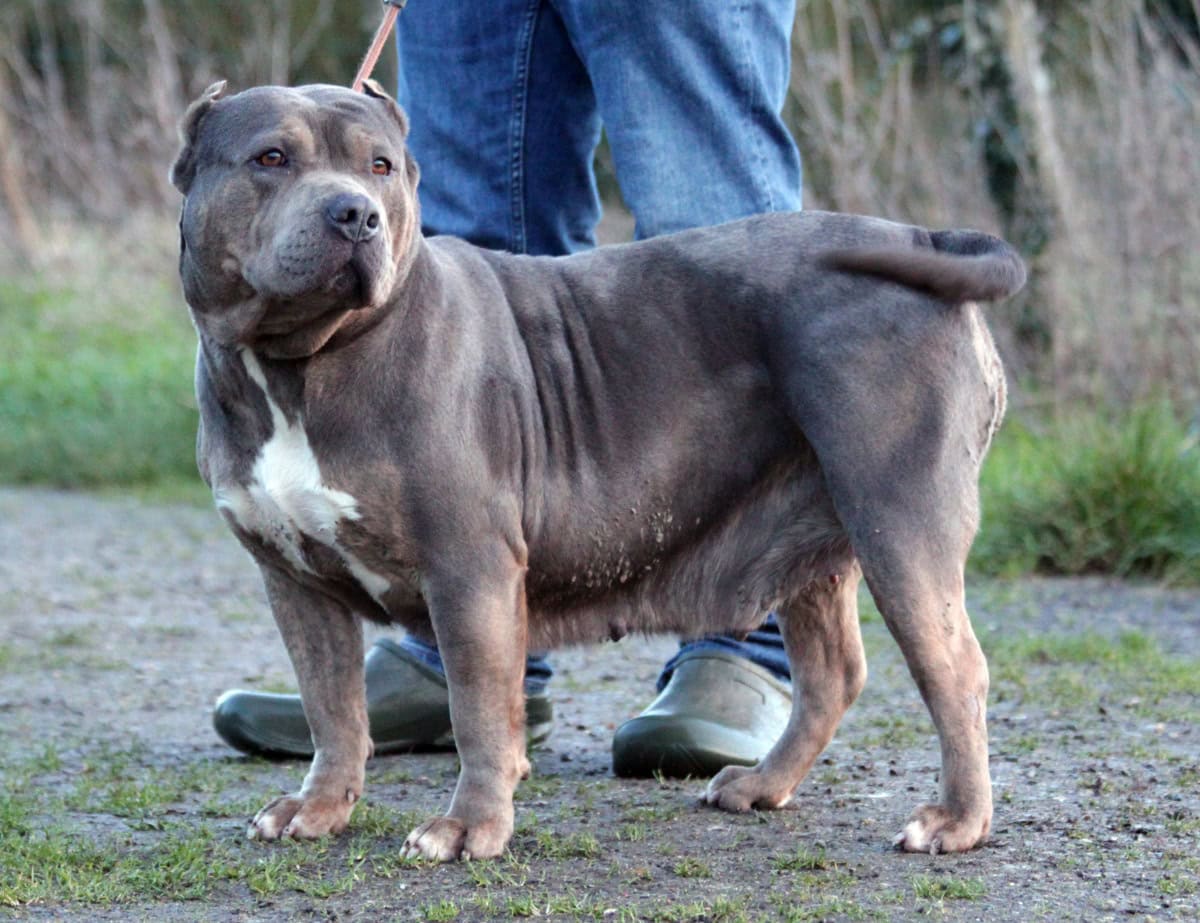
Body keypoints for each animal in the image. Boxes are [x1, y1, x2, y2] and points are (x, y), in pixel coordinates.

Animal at [174, 82, 1027, 859]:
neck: (302, 363)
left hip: (899, 520)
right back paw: (762, 783)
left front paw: (470, 825)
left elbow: (478, 709)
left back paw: (957, 820)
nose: (355, 213)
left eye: (379, 166)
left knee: (955, 669)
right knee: (832, 674)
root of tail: (920, 242)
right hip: (813, 537)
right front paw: (320, 806)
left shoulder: (469, 569)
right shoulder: (296, 583)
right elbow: (333, 707)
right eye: (270, 158)